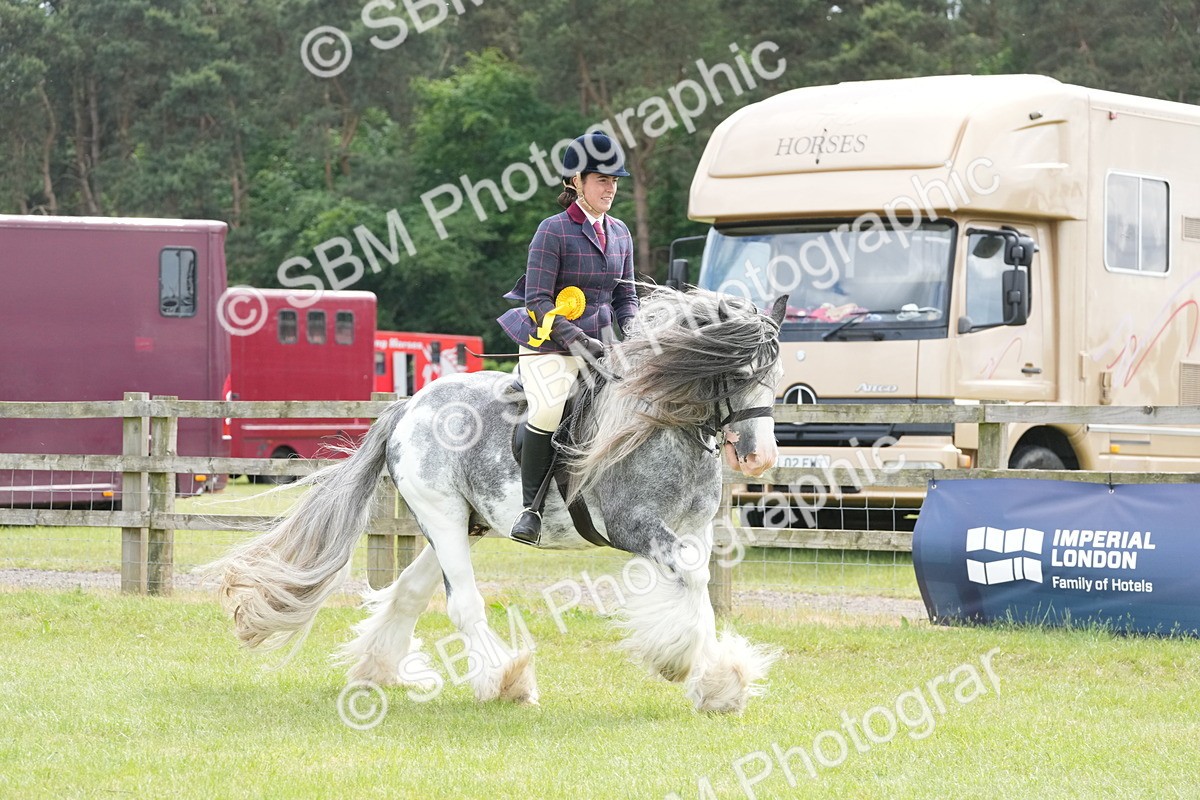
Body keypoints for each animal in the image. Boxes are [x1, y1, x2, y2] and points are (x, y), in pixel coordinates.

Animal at [211, 287, 786, 713]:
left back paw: (378, 671)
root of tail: (409, 405)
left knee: (410, 592)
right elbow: (688, 579)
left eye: (773, 377)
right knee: (462, 602)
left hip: (466, 522)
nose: (759, 458)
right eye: (738, 374)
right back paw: (503, 681)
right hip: (441, 515)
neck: (663, 423)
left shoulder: (693, 529)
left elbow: (699, 584)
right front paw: (679, 663)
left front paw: (719, 685)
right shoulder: (636, 528)